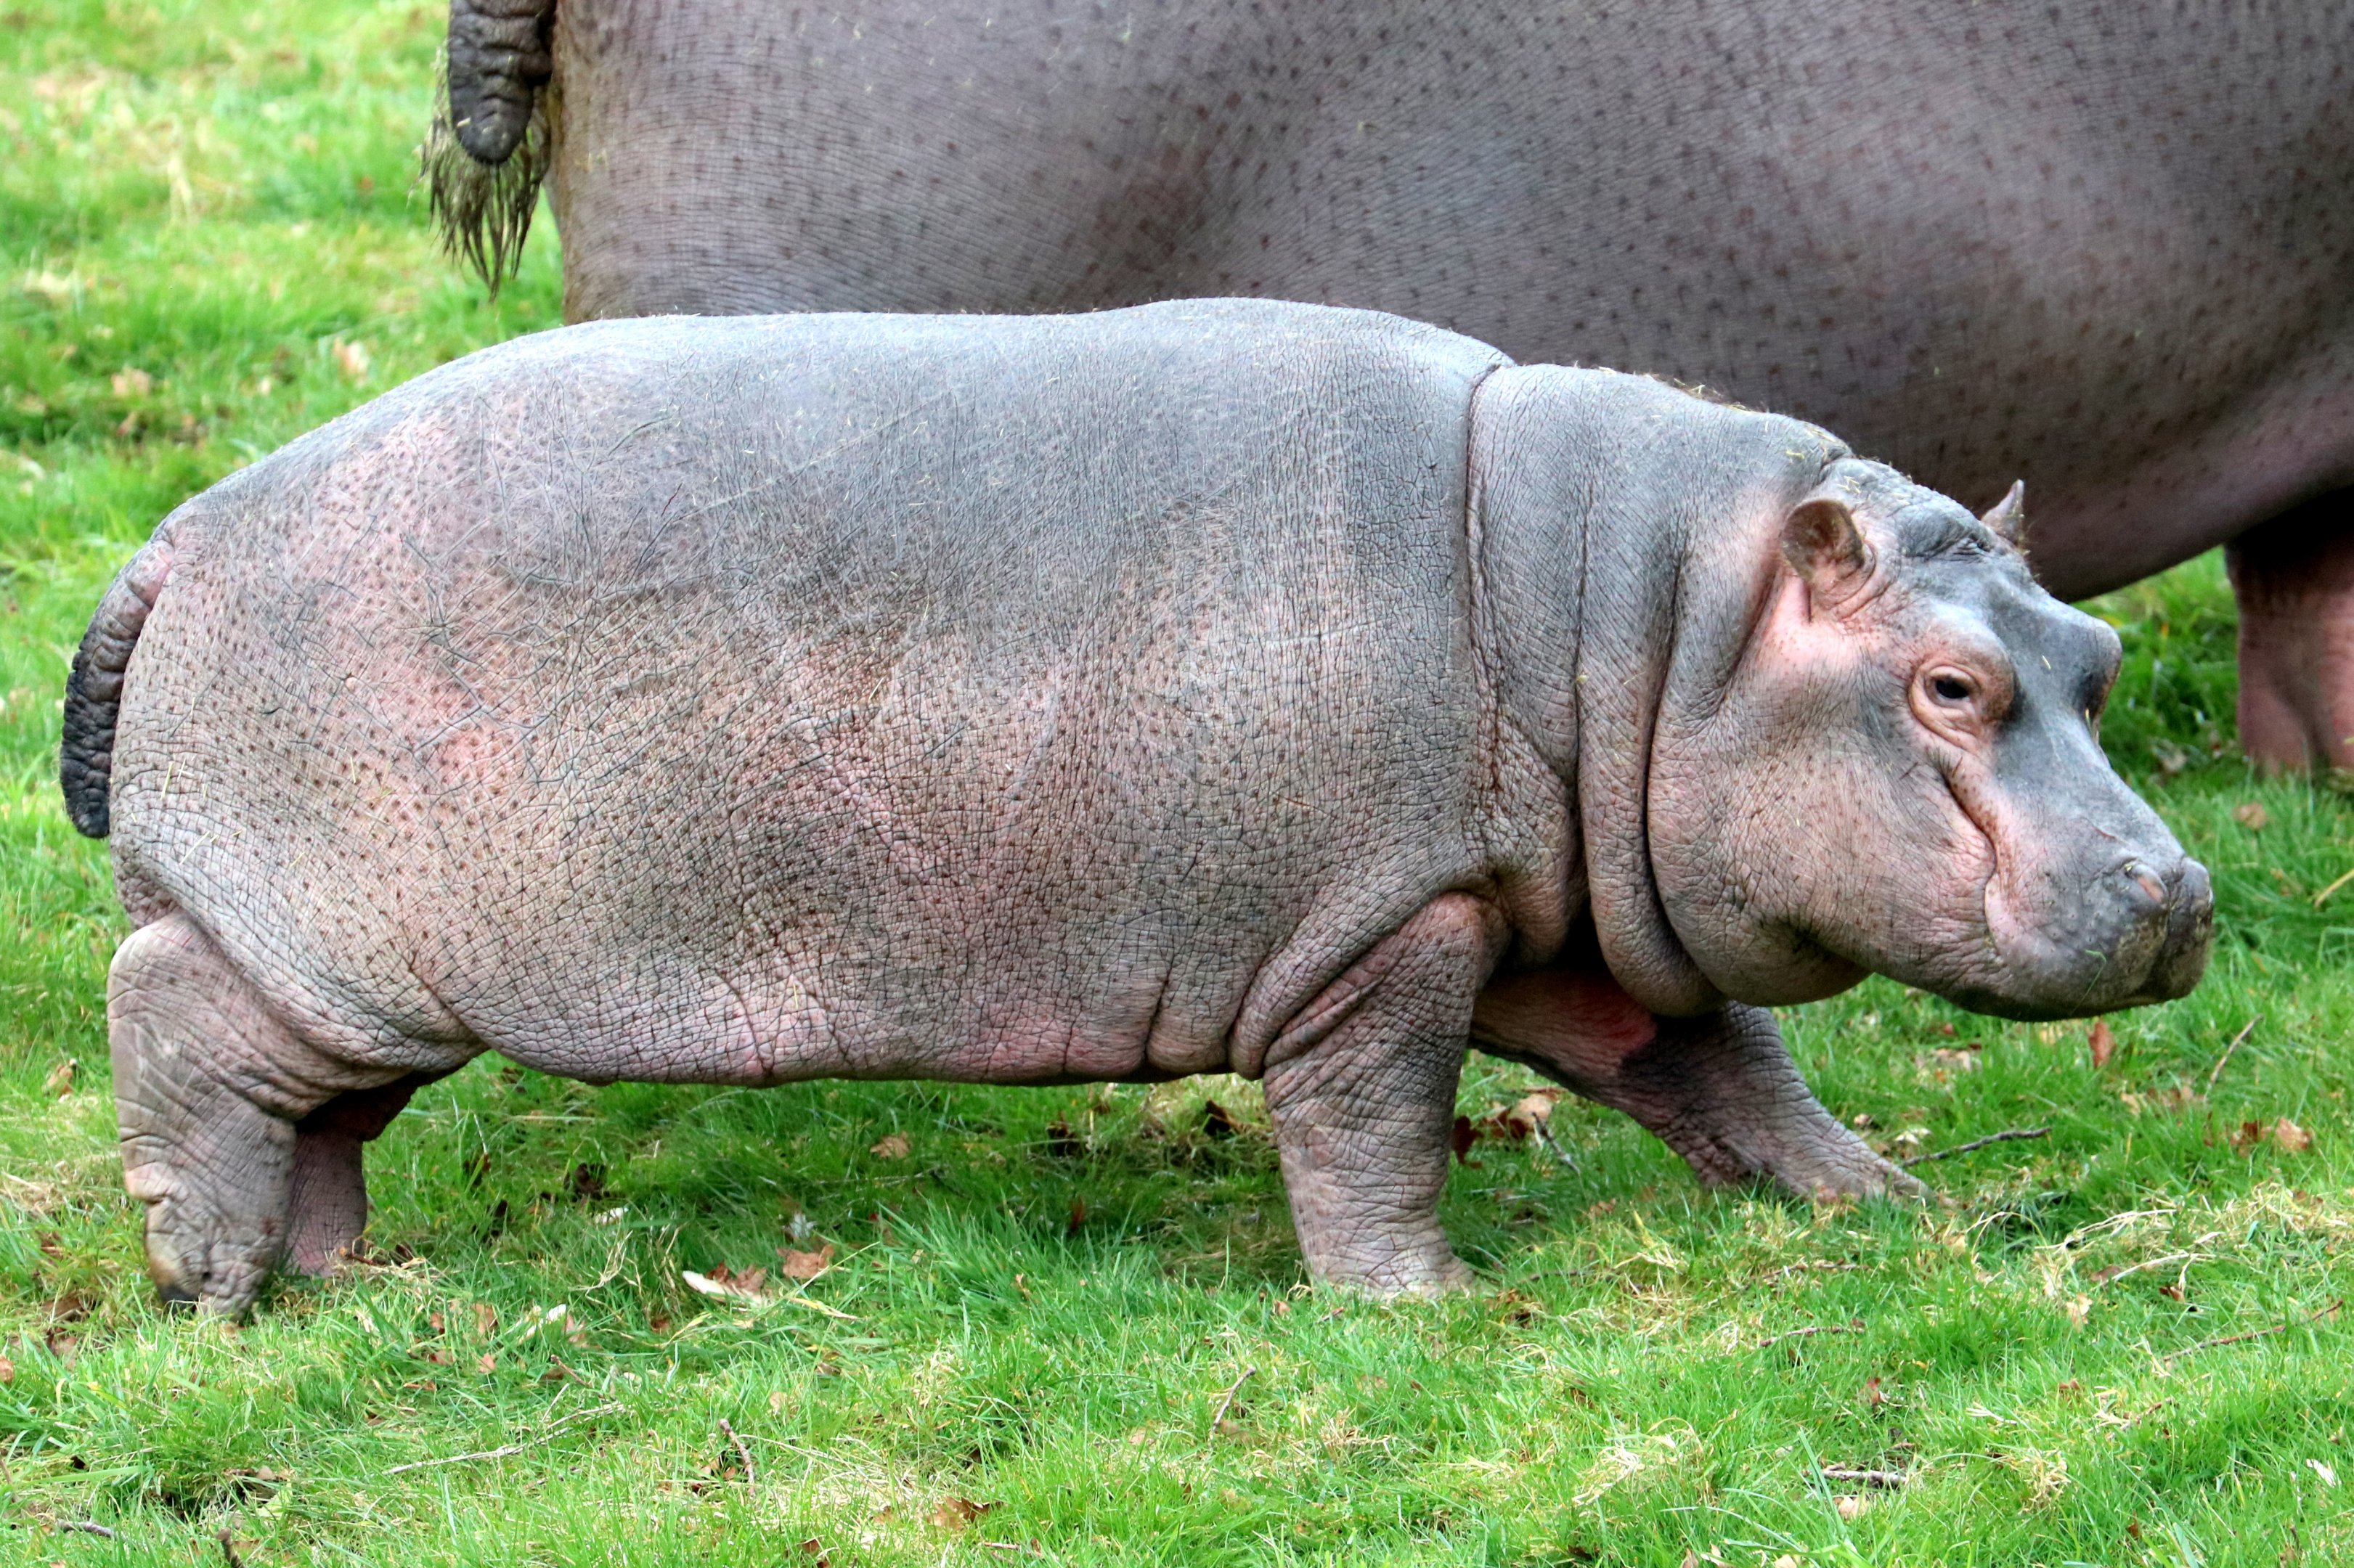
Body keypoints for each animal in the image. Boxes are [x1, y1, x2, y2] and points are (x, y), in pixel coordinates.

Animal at [61, 301, 2211, 1315]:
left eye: (2093, 650)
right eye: (1950, 687)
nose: (2180, 894)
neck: (1647, 614)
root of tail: (182, 527)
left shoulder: (1566, 914)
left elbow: (1729, 1072)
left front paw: (1892, 1208)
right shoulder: (1390, 919)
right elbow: (1375, 1122)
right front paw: (1426, 1303)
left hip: (361, 970)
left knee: (316, 1124)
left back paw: (345, 1280)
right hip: (312, 940)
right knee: (176, 1031)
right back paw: (208, 1286)